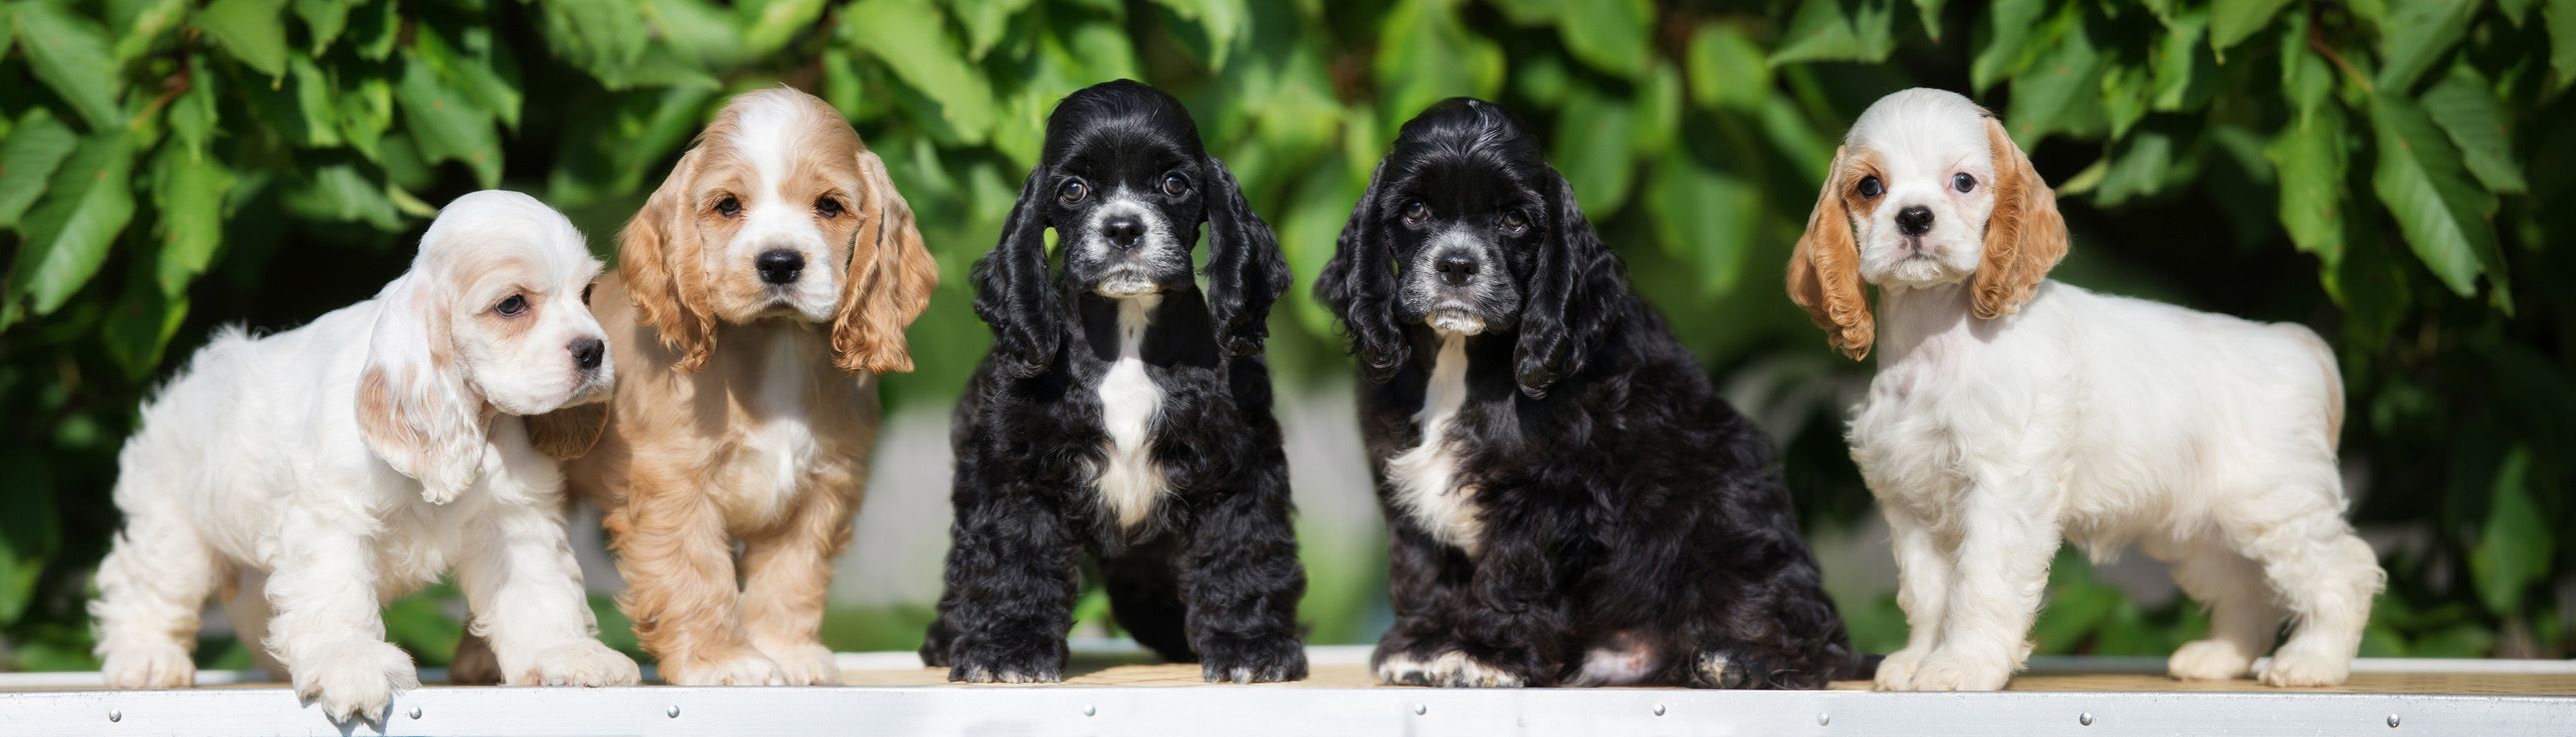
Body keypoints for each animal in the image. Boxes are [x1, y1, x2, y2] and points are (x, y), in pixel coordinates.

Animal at [92, 191, 639, 726]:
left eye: (587, 294)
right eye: (511, 304)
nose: (593, 350)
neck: (476, 418)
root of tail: (177, 387)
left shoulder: (514, 519)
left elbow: (539, 592)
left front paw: (567, 654)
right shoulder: (332, 518)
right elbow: (337, 592)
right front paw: (349, 665)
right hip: (175, 531)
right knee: (145, 585)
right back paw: (146, 659)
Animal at [463, 89, 938, 690]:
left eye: (829, 206)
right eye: (727, 206)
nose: (780, 262)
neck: (775, 349)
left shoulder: (824, 488)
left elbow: (793, 575)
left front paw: (789, 652)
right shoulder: (676, 485)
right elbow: (697, 574)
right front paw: (722, 661)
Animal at [912, 80, 1308, 685]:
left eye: (1174, 183)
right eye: (1073, 189)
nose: (1123, 228)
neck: (1126, 335)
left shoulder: (1237, 463)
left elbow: (1244, 550)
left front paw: (1251, 646)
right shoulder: (1015, 470)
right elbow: (1012, 559)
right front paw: (1007, 650)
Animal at [1318, 99, 1864, 690]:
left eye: (1515, 220)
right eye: (1415, 210)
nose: (1457, 265)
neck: (1460, 358)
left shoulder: (1551, 488)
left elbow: (1515, 571)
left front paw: (1485, 654)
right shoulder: (1407, 487)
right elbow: (1423, 567)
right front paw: (1420, 645)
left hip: (1734, 526)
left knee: (1812, 640)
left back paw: (1736, 659)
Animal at [1792, 87, 2369, 690]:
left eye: (1964, 182)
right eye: (1870, 187)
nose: (1914, 217)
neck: (1937, 339)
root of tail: (2295, 342)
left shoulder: (2002, 489)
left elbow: (1978, 585)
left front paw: (1960, 665)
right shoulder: (1910, 498)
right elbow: (1928, 593)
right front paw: (1916, 659)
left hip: (2273, 505)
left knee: (2343, 571)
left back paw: (2313, 661)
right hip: (2203, 527)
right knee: (2246, 587)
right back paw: (2219, 657)